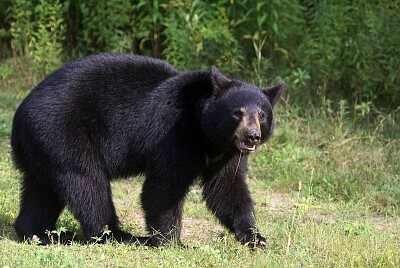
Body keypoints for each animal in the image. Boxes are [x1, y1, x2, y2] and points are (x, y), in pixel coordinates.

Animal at [10, 53, 284, 248]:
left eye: (262, 114)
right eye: (237, 112)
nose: (252, 136)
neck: (208, 136)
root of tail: (20, 116)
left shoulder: (227, 155)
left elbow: (227, 188)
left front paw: (254, 237)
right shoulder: (174, 134)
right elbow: (164, 186)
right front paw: (172, 241)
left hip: (42, 148)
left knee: (41, 191)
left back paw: (38, 233)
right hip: (63, 134)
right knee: (87, 184)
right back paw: (119, 235)